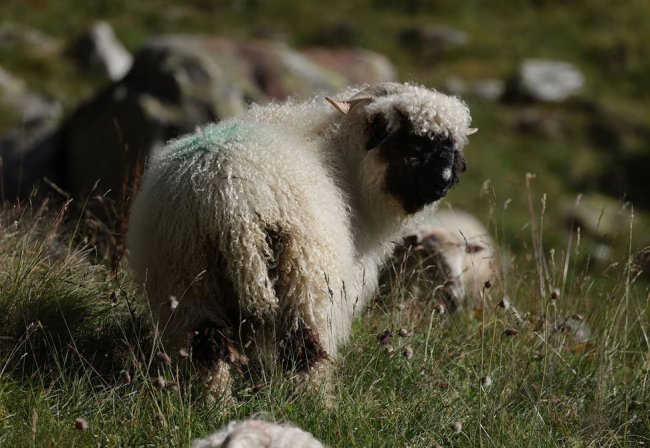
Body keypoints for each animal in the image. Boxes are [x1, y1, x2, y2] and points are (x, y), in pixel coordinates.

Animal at [125, 82, 470, 394]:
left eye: (451, 146)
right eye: (414, 142)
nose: (444, 181)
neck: (346, 165)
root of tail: (230, 200)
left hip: (185, 279)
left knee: (207, 350)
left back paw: (216, 402)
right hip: (306, 281)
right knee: (306, 349)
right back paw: (316, 404)